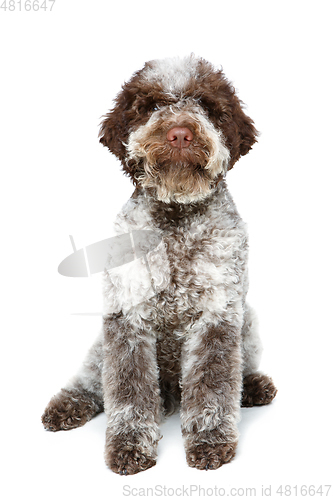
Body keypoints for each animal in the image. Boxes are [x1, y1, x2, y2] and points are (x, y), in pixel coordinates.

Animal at [40, 56, 274, 474]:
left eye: (206, 105)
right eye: (150, 106)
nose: (180, 134)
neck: (175, 220)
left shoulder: (217, 317)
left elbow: (213, 387)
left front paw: (210, 441)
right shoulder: (127, 319)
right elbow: (129, 391)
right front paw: (130, 444)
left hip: (248, 320)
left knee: (239, 370)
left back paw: (253, 386)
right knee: (92, 378)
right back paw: (68, 403)